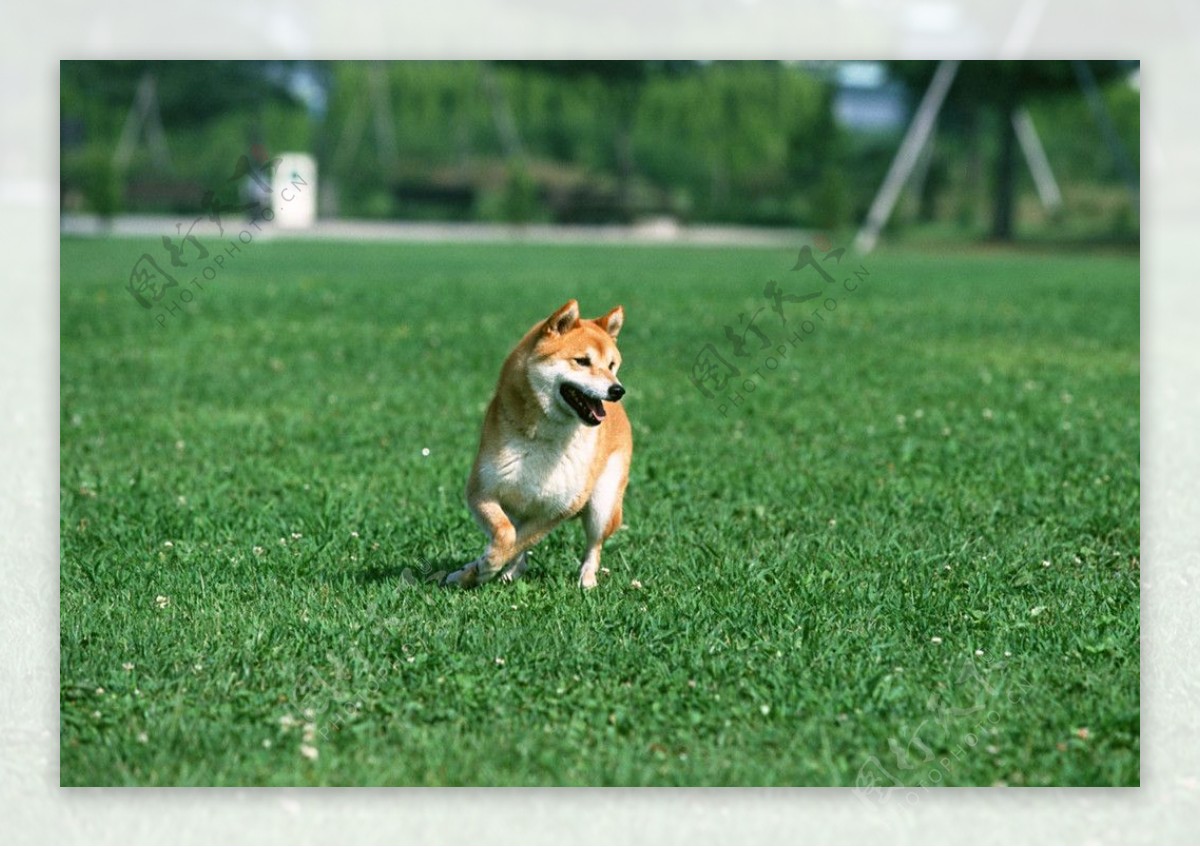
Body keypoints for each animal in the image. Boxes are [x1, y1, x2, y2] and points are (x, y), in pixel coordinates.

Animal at [446, 298, 633, 587]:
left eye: (611, 365)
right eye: (582, 361)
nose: (617, 390)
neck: (544, 438)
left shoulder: (557, 510)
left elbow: (516, 541)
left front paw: (486, 566)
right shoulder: (482, 491)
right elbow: (506, 534)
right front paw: (476, 569)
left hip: (603, 504)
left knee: (594, 545)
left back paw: (587, 580)